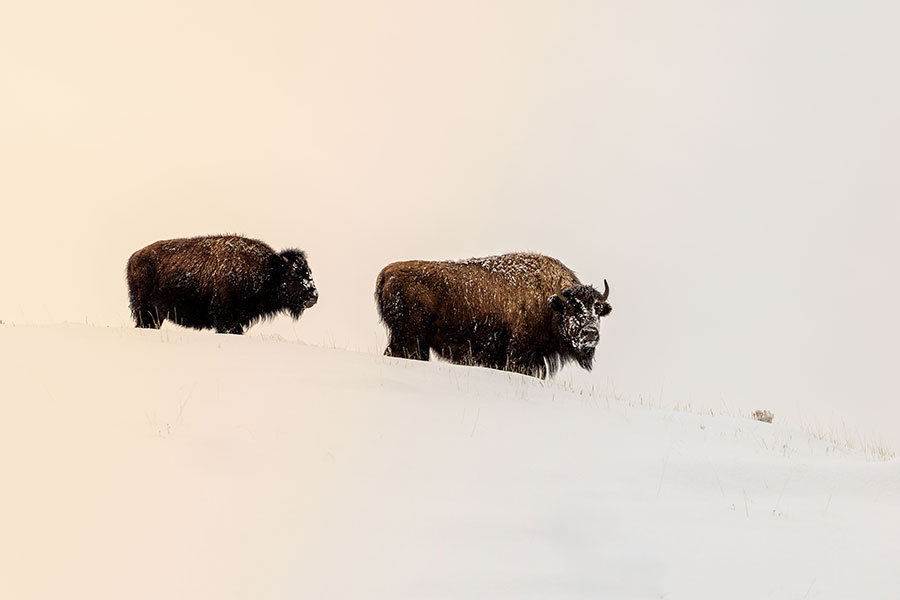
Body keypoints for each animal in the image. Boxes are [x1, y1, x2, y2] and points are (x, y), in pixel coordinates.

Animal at [127, 235, 318, 334]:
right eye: (293, 273)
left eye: (309, 271)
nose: (313, 296)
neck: (269, 270)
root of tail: (134, 256)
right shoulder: (227, 319)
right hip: (145, 310)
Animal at [375, 252, 610, 378]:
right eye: (572, 307)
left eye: (598, 309)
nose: (591, 333)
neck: (550, 302)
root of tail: (386, 273)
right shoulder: (519, 354)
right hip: (408, 339)